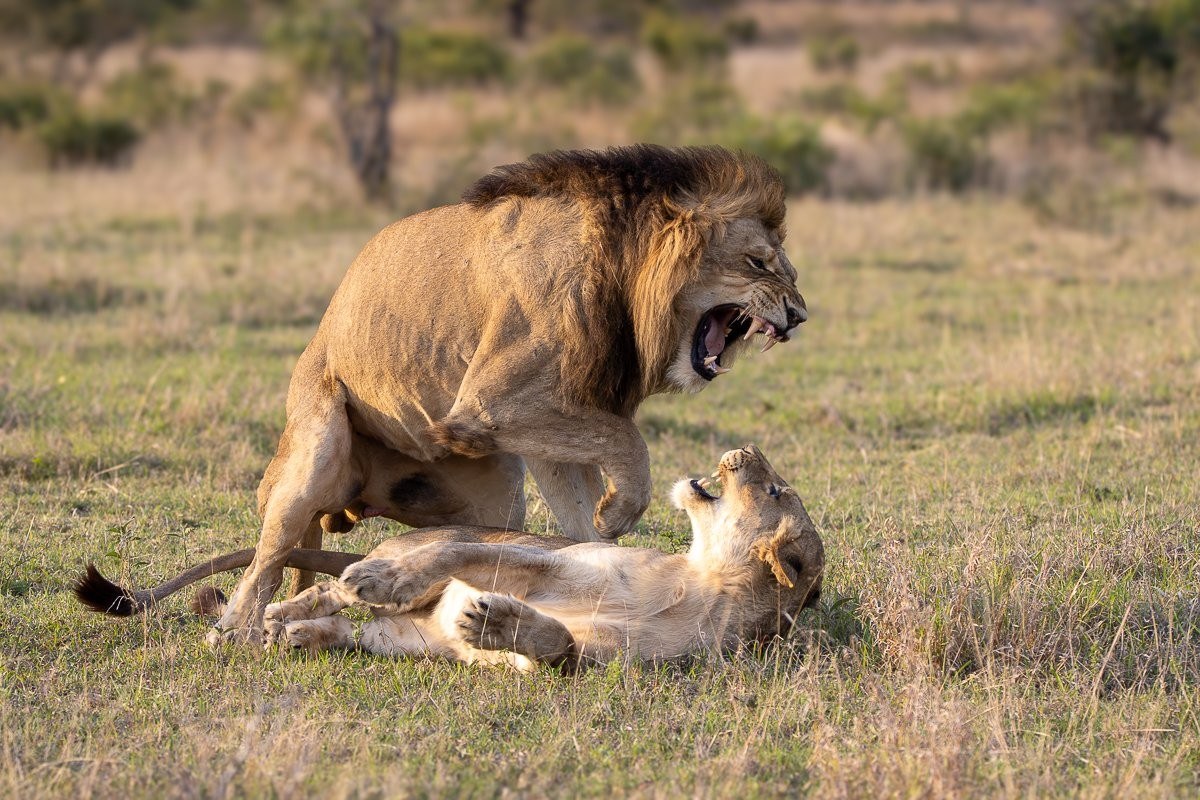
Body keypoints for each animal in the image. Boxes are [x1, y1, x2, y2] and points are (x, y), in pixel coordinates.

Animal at [75, 446, 824, 670]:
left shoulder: (609, 660)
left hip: (392, 639)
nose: (744, 450)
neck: (701, 581)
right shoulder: (553, 559)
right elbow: (460, 553)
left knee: (344, 625)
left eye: (775, 489)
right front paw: (385, 580)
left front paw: (488, 625)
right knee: (335, 585)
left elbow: (556, 646)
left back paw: (292, 632)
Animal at [213, 145, 808, 644]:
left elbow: (581, 512)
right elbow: (628, 440)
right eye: (758, 263)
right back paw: (237, 630)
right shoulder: (490, 404)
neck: (624, 273)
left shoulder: (552, 417)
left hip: (498, 494)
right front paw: (619, 511)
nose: (800, 316)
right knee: (268, 557)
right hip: (315, 451)